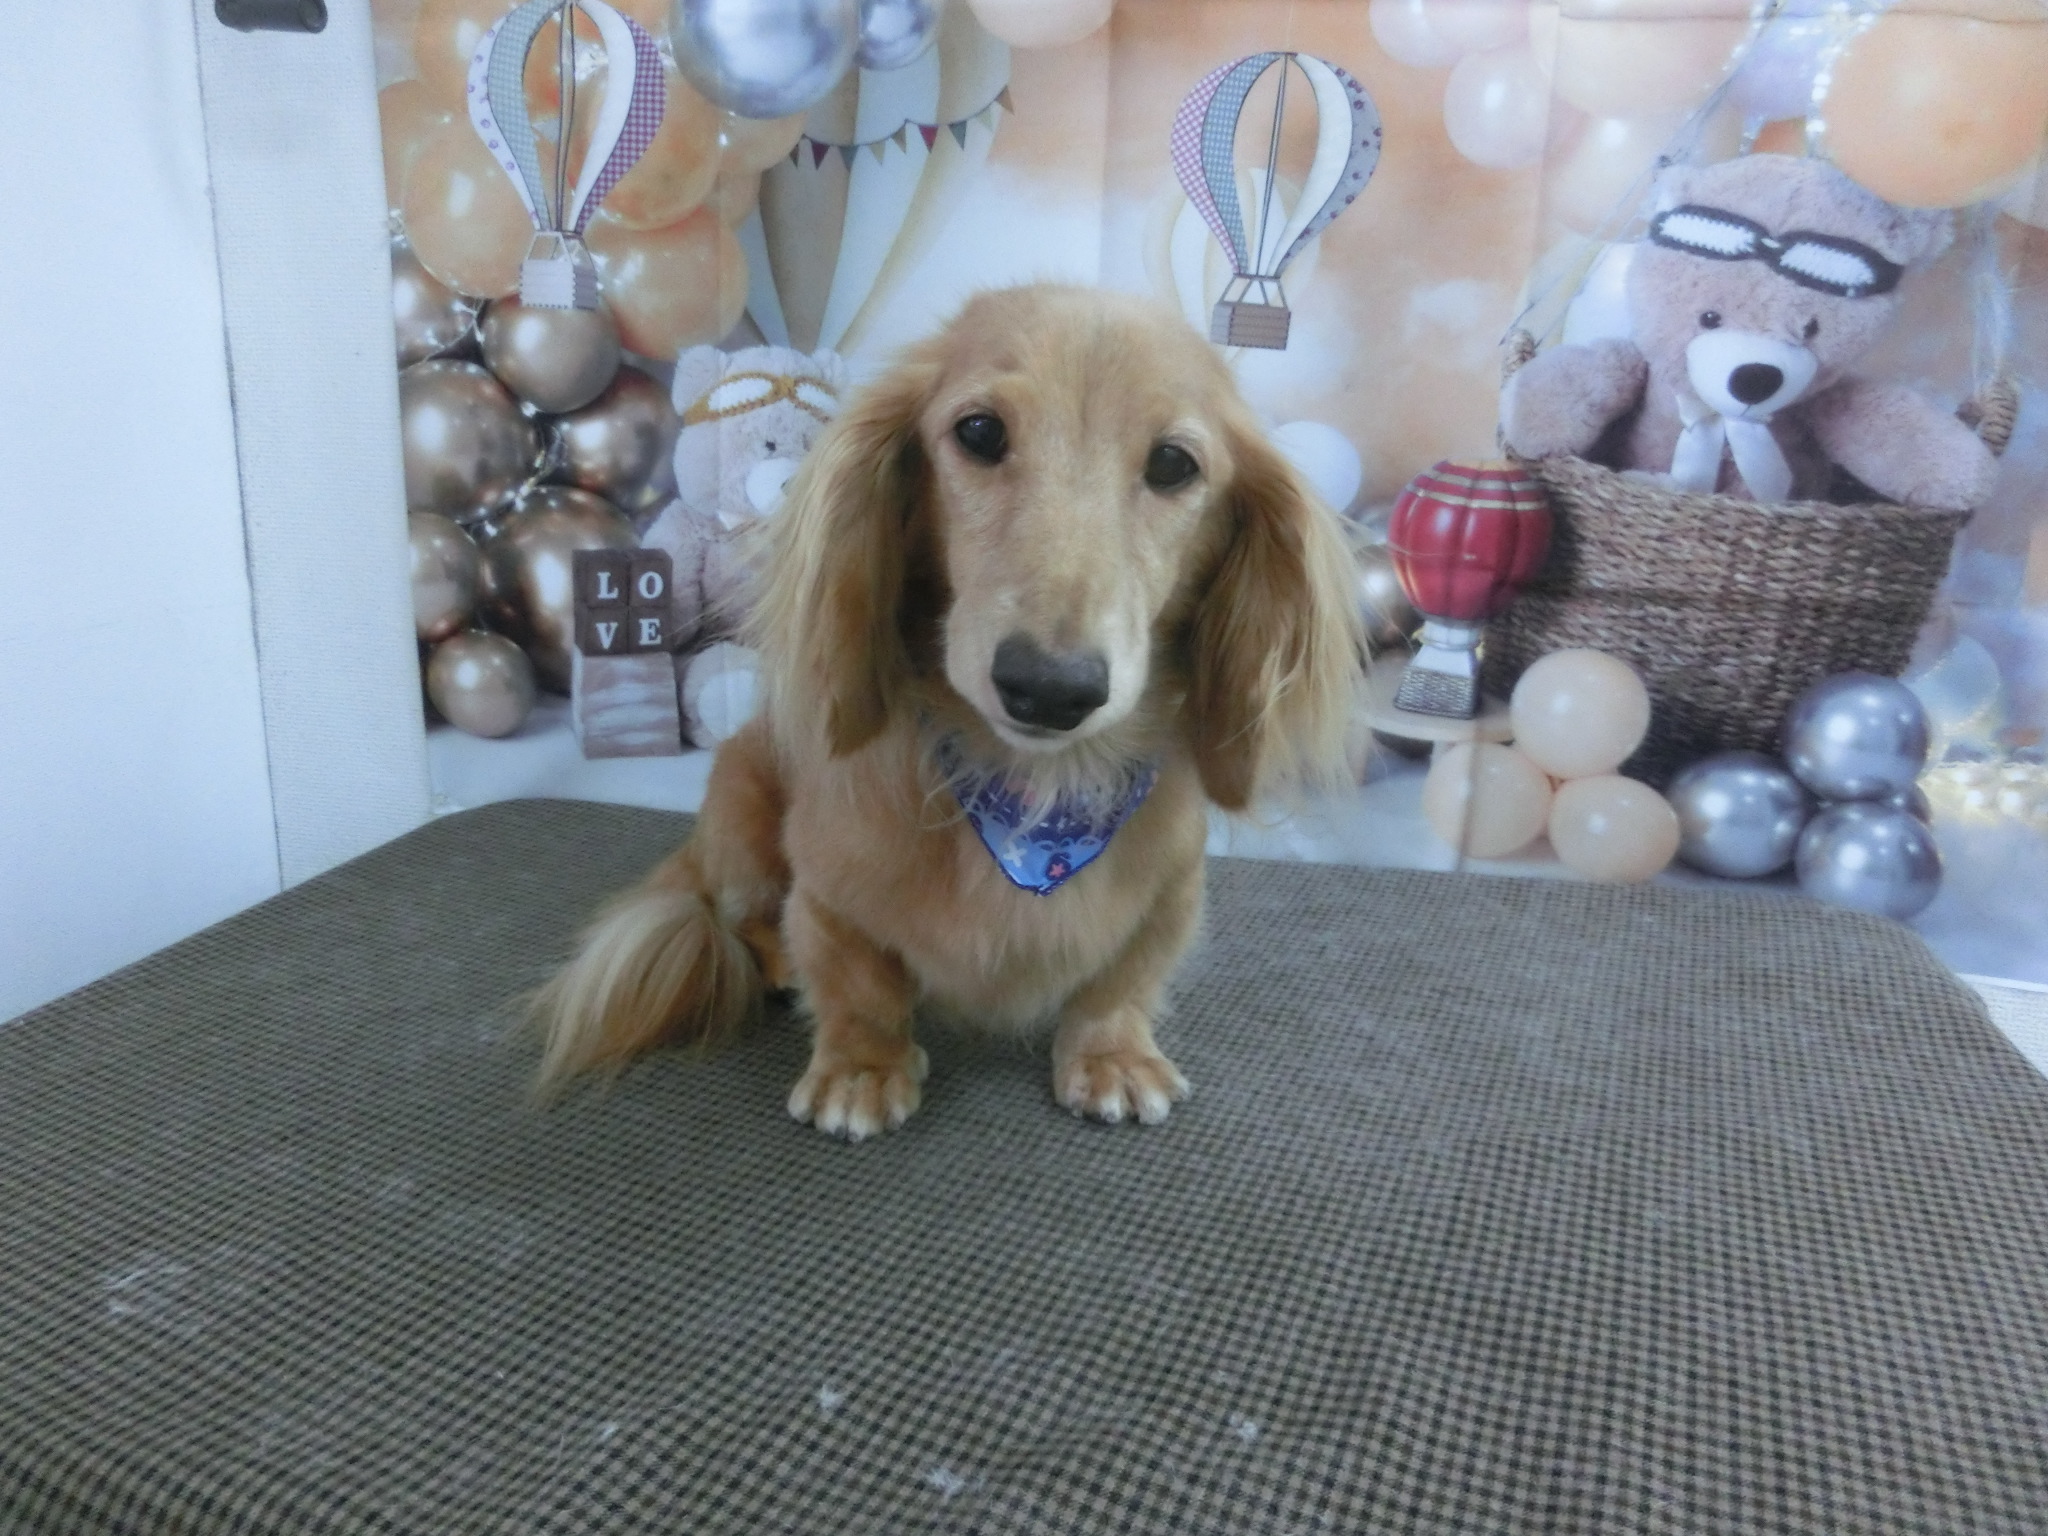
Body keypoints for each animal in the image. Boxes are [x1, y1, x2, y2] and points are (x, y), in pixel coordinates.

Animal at [531, 284, 1361, 1139]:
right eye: (980, 431)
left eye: (1173, 464)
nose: (1049, 688)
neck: (1036, 800)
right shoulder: (825, 890)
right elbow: (855, 979)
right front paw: (862, 1068)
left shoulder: (1173, 894)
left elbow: (1121, 982)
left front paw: (1111, 1054)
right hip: (739, 815)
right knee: (747, 921)